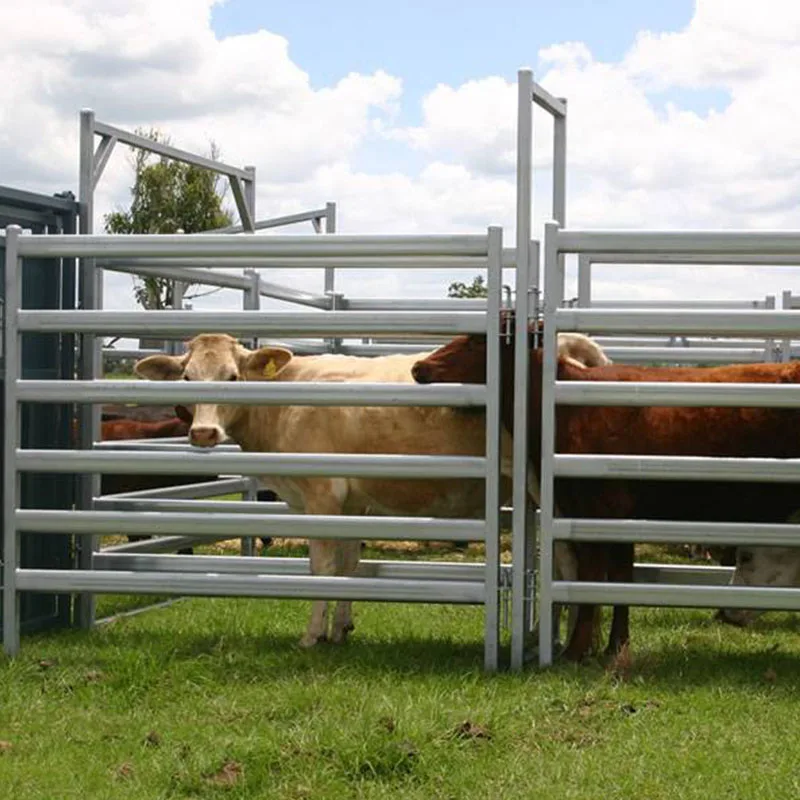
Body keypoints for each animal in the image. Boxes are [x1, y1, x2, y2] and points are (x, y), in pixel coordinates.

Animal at [411, 316, 800, 663]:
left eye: (478, 341)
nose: (419, 367)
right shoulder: (615, 516)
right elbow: (619, 579)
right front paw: (615, 647)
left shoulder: (597, 509)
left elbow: (593, 577)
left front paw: (576, 650)